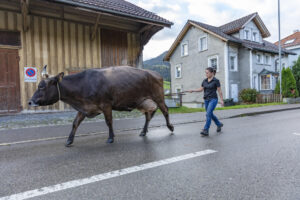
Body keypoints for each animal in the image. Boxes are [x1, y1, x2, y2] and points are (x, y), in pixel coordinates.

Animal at [28, 66, 173, 146]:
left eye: (42, 86)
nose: (30, 102)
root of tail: (155, 73)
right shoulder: (84, 108)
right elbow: (75, 123)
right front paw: (69, 140)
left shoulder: (106, 104)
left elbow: (109, 122)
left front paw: (110, 138)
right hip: (143, 101)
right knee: (149, 115)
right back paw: (143, 131)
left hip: (158, 97)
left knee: (165, 110)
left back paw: (170, 127)